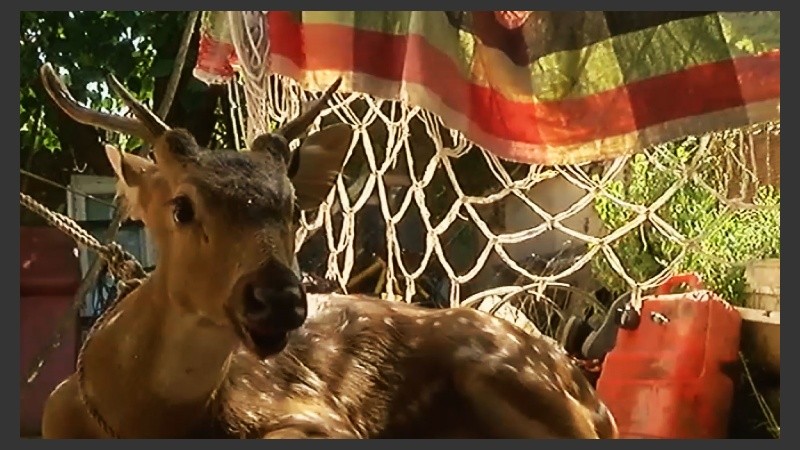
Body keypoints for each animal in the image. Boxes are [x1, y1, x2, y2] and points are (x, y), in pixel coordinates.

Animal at [37, 61, 620, 438]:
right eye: (181, 207)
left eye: (295, 207)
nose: (277, 298)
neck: (142, 417)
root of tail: (594, 399)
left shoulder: (318, 413)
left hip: (507, 374)